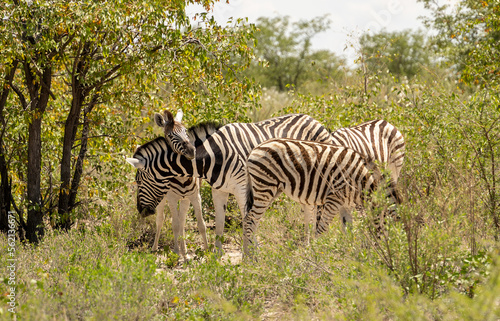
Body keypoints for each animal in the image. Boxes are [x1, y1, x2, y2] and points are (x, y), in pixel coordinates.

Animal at [127, 114, 334, 251]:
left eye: (138, 181)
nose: (141, 211)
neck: (212, 156)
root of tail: (313, 119)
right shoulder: (219, 190)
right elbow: (219, 224)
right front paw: (217, 257)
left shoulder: (242, 188)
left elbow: (246, 219)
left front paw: (251, 252)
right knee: (308, 208)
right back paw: (308, 244)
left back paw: (314, 244)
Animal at [242, 139, 402, 256]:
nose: (382, 254)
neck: (360, 179)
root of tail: (255, 149)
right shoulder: (334, 199)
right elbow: (322, 229)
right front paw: (316, 254)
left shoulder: (345, 204)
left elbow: (348, 229)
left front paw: (351, 254)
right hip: (265, 187)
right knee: (250, 220)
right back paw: (252, 258)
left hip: (273, 190)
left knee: (251, 220)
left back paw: (251, 255)